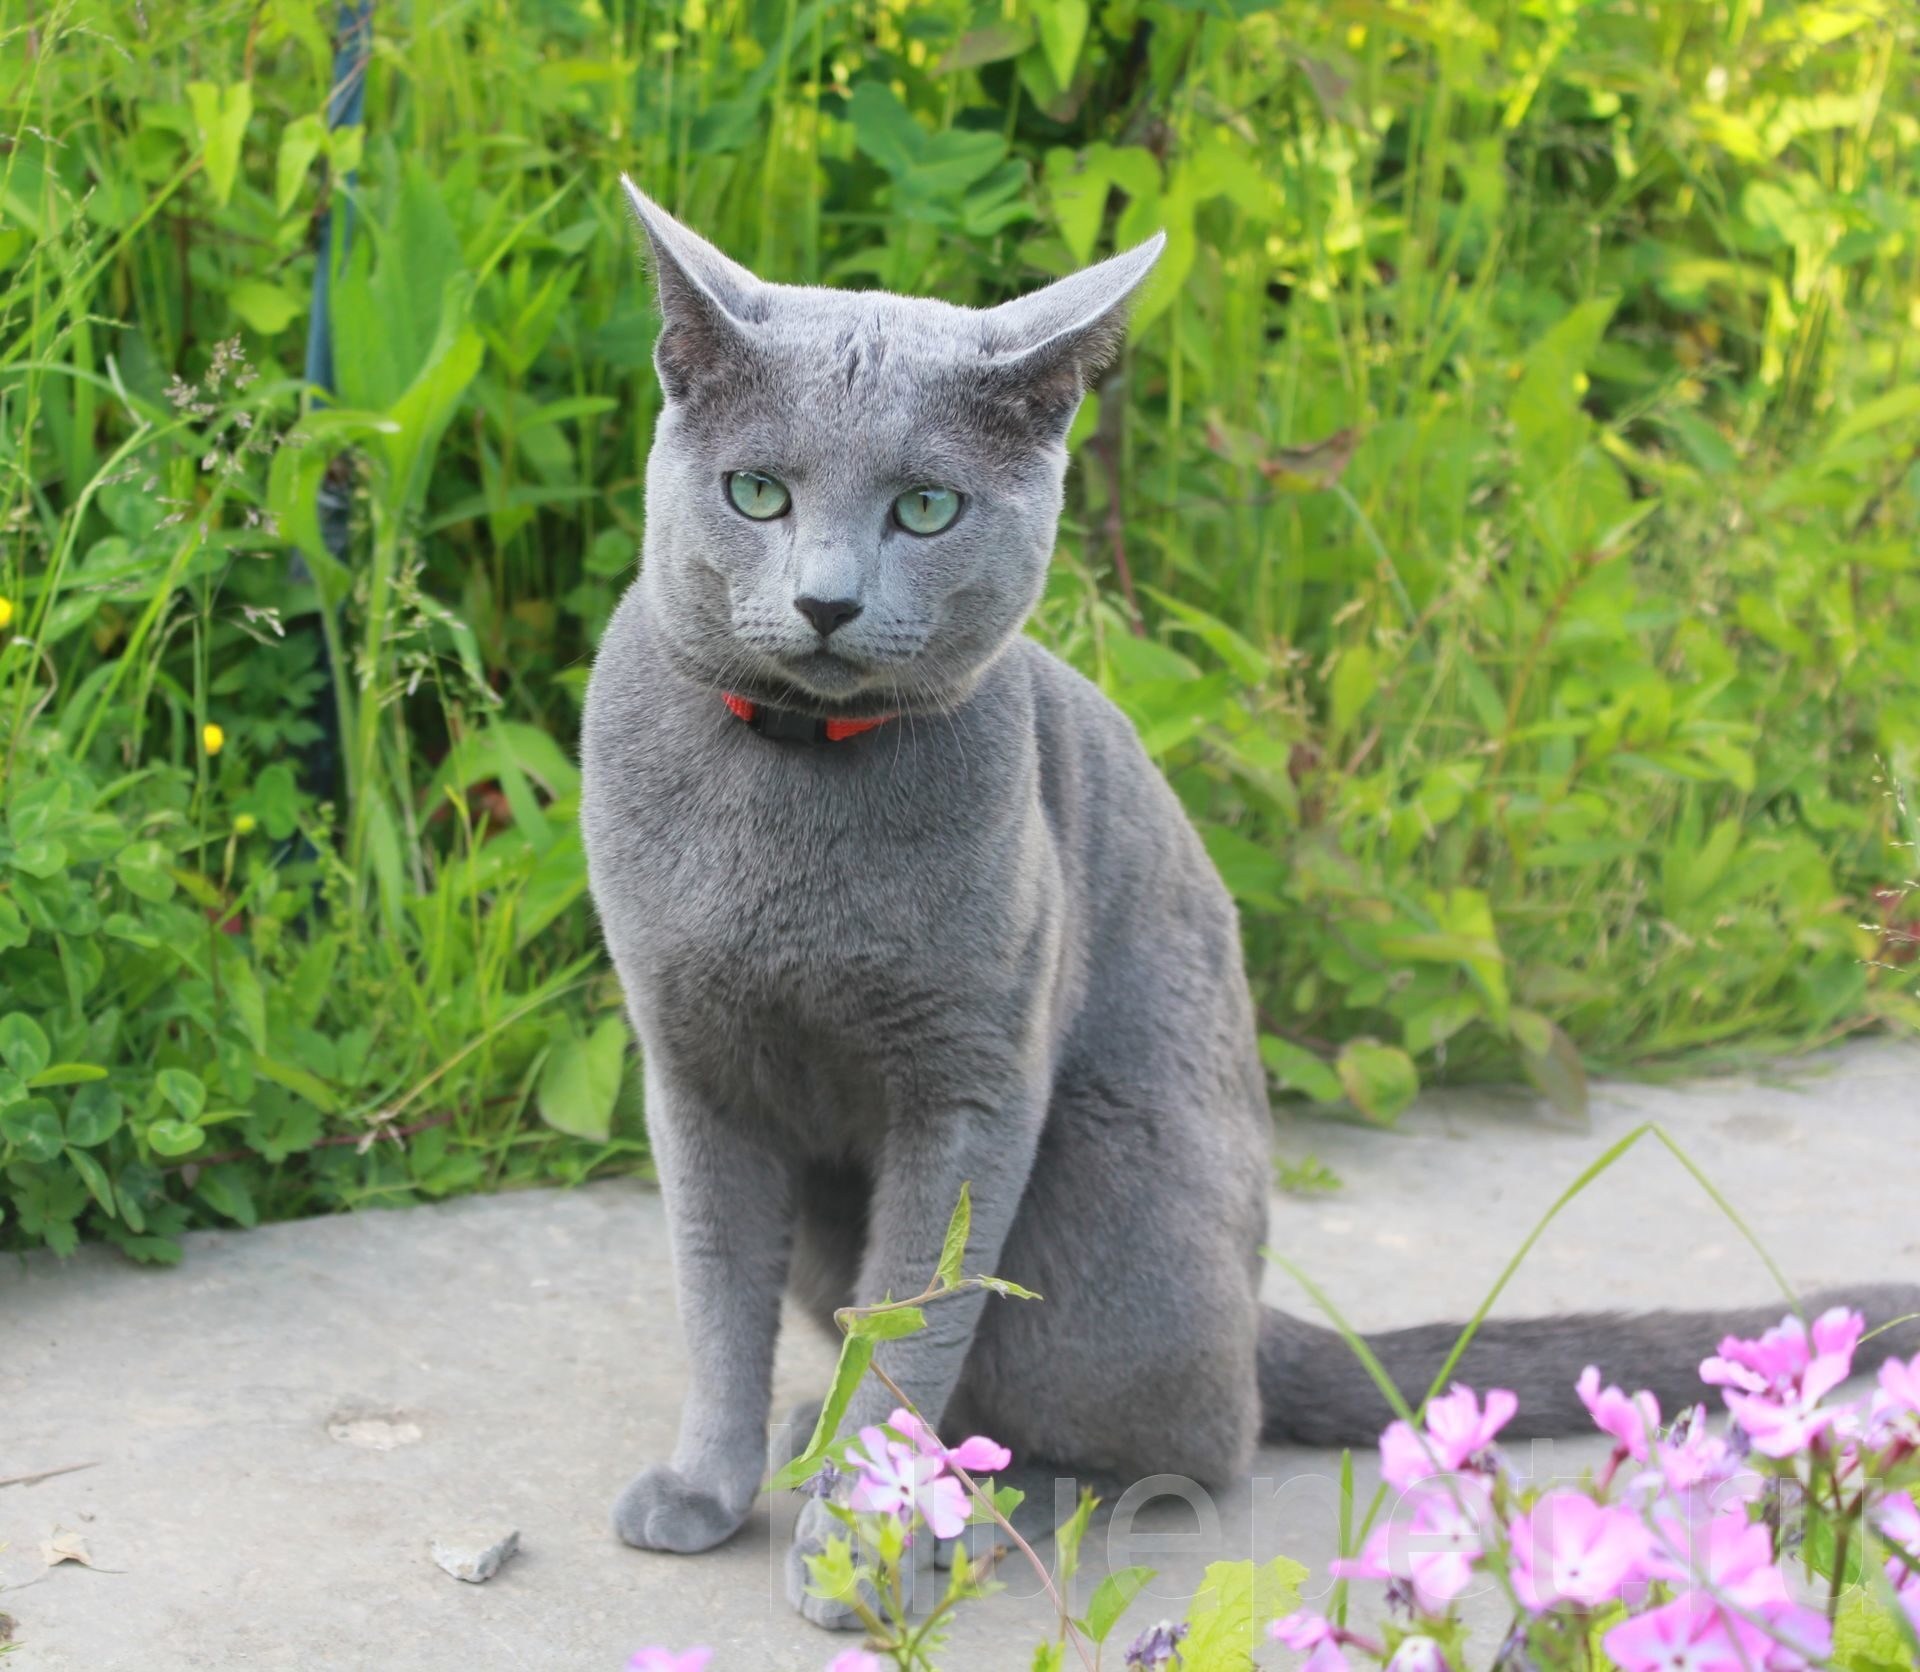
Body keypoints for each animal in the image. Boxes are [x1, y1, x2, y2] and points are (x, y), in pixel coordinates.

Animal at [579, 176, 1920, 1627]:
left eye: (926, 510)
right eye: (756, 493)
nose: (826, 601)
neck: (794, 774)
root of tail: (1254, 1307)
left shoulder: (971, 1085)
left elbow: (915, 1322)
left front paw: (862, 1537)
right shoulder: (691, 1065)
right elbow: (717, 1297)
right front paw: (706, 1486)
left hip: (1113, 1181)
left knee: (1193, 1441)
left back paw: (987, 1498)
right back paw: (805, 1438)